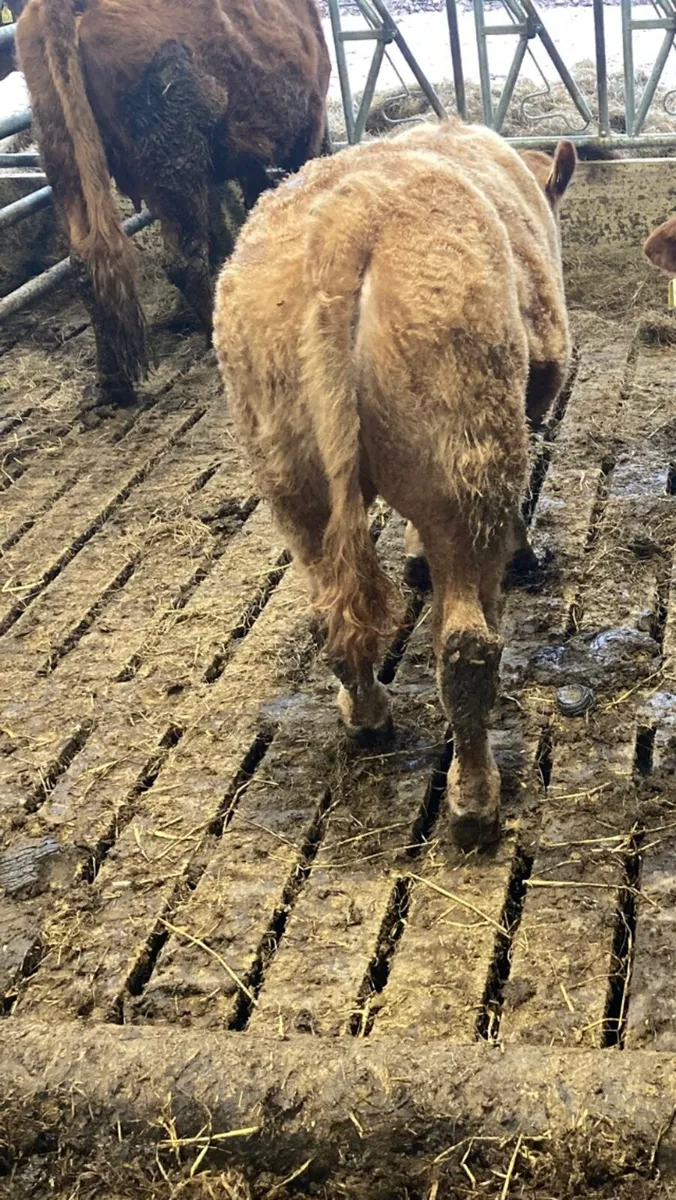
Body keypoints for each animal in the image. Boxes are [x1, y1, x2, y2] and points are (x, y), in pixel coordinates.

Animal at [15, 0, 330, 406]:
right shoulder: (311, 126)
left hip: (64, 163)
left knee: (87, 267)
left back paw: (112, 384)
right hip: (175, 161)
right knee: (184, 261)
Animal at [213, 119, 575, 850]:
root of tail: (348, 221)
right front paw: (525, 553)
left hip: (291, 481)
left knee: (328, 616)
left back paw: (367, 715)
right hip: (467, 466)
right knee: (466, 647)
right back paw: (475, 801)